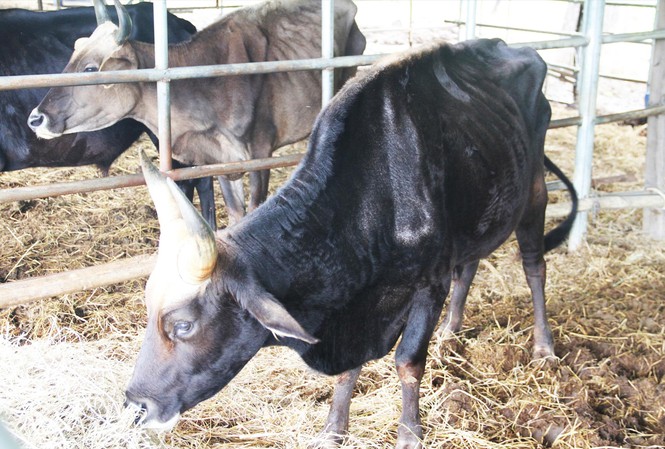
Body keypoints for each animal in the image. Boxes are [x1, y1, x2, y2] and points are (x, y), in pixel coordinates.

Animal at [28, 0, 366, 224]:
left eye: (90, 68)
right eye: (71, 58)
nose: (36, 118)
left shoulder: (259, 152)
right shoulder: (220, 160)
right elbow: (236, 213)